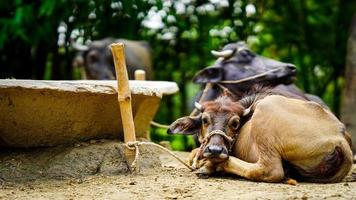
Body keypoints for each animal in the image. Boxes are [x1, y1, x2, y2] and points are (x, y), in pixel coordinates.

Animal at [169, 94, 354, 182]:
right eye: (205, 120)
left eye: (235, 123)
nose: (214, 150)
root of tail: (339, 137)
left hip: (266, 111)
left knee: (269, 170)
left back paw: (211, 166)